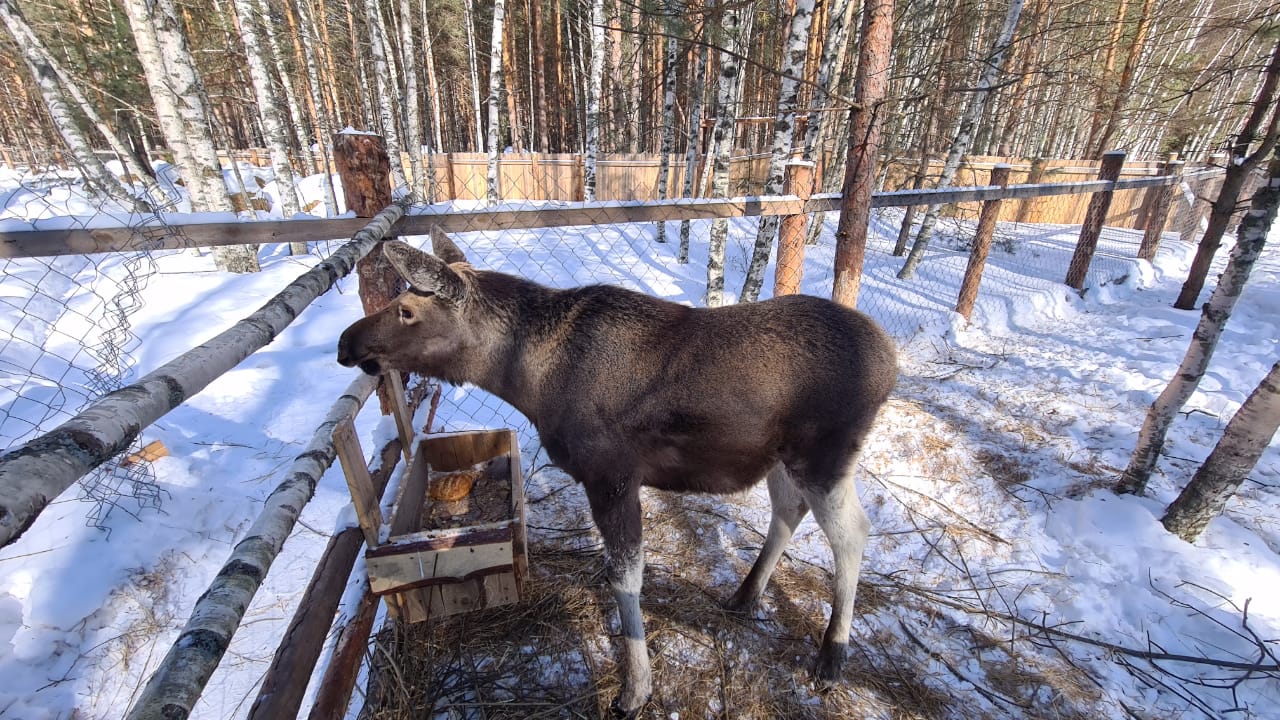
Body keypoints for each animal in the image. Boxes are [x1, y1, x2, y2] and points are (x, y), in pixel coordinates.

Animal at [340, 228, 901, 712]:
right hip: (783, 457)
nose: (347, 343)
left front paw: (636, 689)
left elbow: (625, 578)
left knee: (852, 532)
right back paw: (745, 595)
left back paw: (831, 656)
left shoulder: (610, 475)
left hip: (825, 456)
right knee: (788, 510)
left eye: (406, 309)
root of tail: (892, 359)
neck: (526, 382)